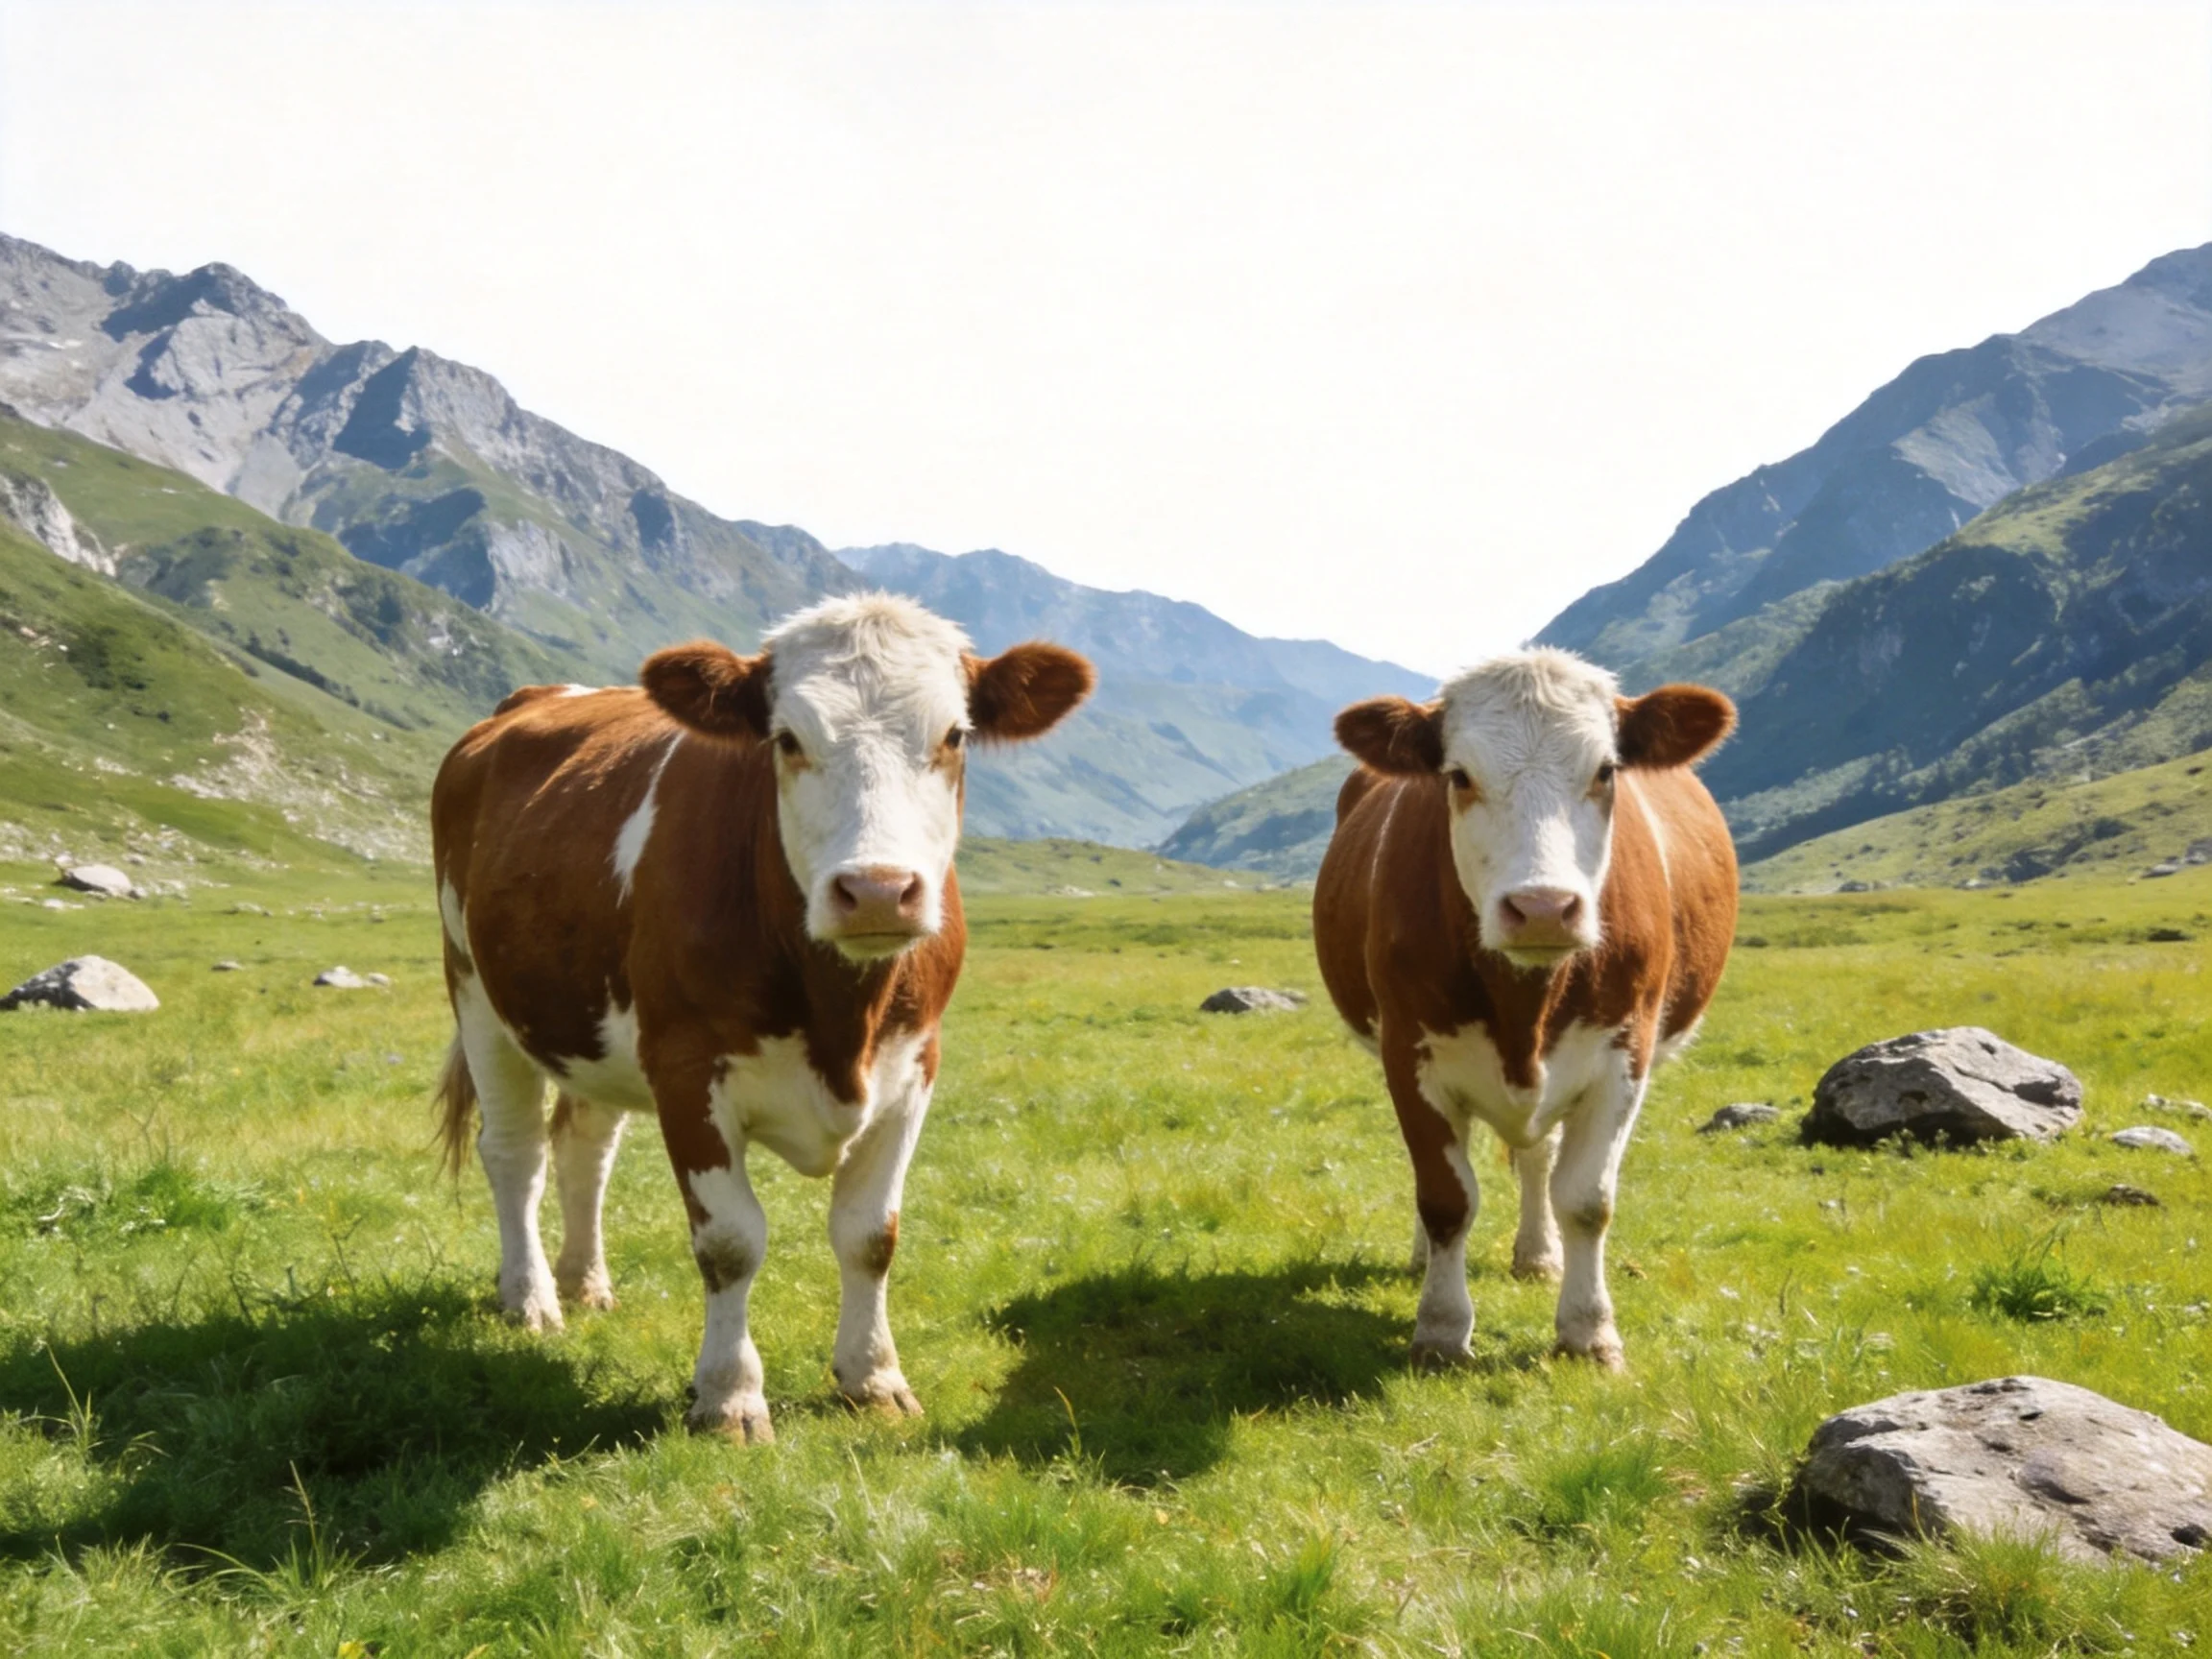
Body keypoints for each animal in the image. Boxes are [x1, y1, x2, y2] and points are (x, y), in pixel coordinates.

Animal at [430, 593, 1093, 1441]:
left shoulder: (915, 1068)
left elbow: (870, 1234)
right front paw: (729, 1396)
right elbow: (730, 1241)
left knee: (585, 1147)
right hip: (475, 988)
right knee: (515, 1154)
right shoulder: (686, 1069)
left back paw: (585, 1282)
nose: (877, 891)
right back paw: (532, 1298)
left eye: (955, 735)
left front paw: (874, 1377)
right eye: (787, 738)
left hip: (590, 1025)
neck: (842, 1018)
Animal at [1312, 648, 1736, 1370]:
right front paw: (1441, 1328)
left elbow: (1587, 1199)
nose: (1542, 907)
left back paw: (1539, 1255)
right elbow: (1445, 1196)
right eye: (1458, 775)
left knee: (1540, 1159)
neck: (1524, 1004)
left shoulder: (1624, 1054)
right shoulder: (1408, 1051)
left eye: (1606, 770)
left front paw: (1589, 1331)